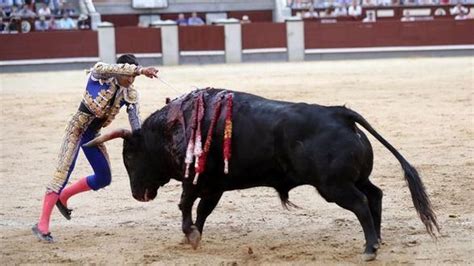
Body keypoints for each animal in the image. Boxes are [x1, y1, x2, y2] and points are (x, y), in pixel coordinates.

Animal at [87, 88, 438, 260]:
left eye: (129, 155)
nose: (138, 194)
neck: (173, 127)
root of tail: (339, 113)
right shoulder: (215, 185)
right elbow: (202, 210)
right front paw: (195, 235)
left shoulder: (197, 180)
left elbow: (186, 205)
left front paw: (189, 233)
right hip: (355, 178)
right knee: (375, 195)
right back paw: (377, 239)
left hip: (334, 186)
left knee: (362, 204)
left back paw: (369, 248)